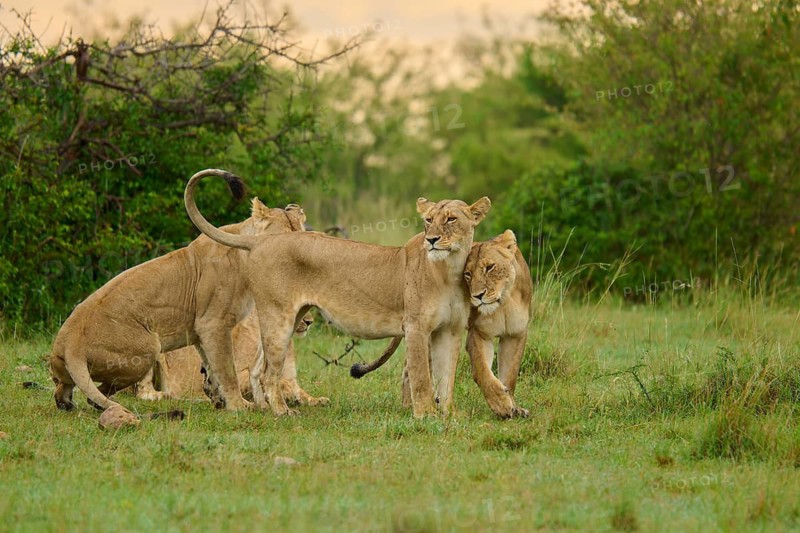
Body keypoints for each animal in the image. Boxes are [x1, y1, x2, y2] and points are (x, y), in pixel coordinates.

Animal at [49, 169, 307, 416]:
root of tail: (72, 344)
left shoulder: (201, 330)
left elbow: (212, 367)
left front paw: (219, 398)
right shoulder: (213, 324)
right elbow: (227, 369)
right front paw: (238, 406)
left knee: (66, 385)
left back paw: (65, 402)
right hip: (149, 349)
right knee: (101, 394)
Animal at [185, 172, 491, 418]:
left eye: (451, 219)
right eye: (428, 220)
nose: (432, 240)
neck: (449, 270)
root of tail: (262, 241)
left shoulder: (450, 330)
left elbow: (446, 376)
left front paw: (451, 414)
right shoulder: (416, 327)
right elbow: (422, 377)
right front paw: (426, 414)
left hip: (292, 317)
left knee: (259, 369)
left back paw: (265, 410)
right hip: (279, 316)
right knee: (269, 373)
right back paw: (282, 412)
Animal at [350, 230, 532, 418]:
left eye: (490, 267)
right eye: (468, 274)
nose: (477, 296)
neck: (505, 301)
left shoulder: (516, 335)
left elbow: (510, 374)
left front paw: (514, 406)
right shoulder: (478, 334)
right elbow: (482, 371)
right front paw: (501, 404)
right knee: (411, 367)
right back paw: (411, 407)